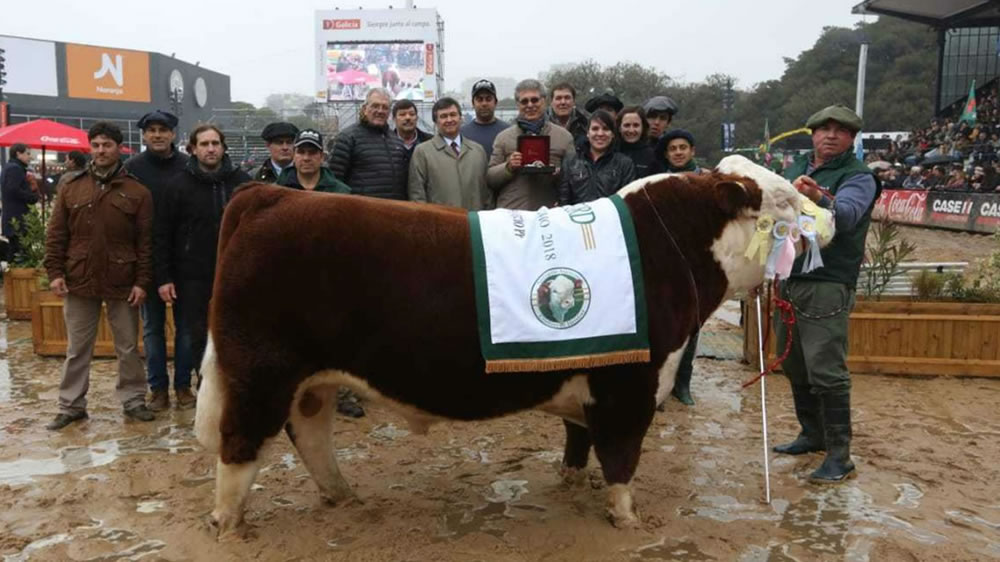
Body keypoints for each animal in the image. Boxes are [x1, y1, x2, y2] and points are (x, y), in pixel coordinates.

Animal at [191, 154, 832, 540]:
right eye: (783, 204)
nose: (823, 218)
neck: (671, 245)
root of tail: (267, 195)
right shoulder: (629, 385)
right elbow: (622, 456)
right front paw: (628, 518)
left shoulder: (589, 372)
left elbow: (579, 440)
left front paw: (571, 484)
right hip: (262, 373)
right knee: (241, 444)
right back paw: (229, 524)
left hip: (311, 379)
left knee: (311, 433)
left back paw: (342, 496)